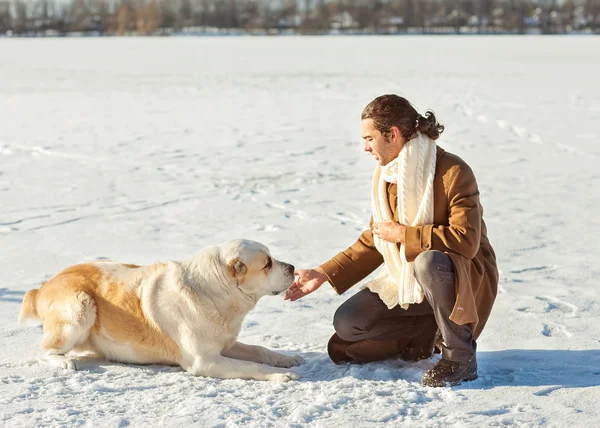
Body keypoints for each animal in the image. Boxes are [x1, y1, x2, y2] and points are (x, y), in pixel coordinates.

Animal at [18, 239, 304, 382]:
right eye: (267, 264)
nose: (293, 268)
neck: (213, 293)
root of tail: (43, 287)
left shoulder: (225, 344)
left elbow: (258, 350)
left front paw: (285, 359)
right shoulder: (205, 361)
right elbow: (251, 366)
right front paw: (280, 375)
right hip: (80, 307)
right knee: (48, 351)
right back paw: (65, 361)